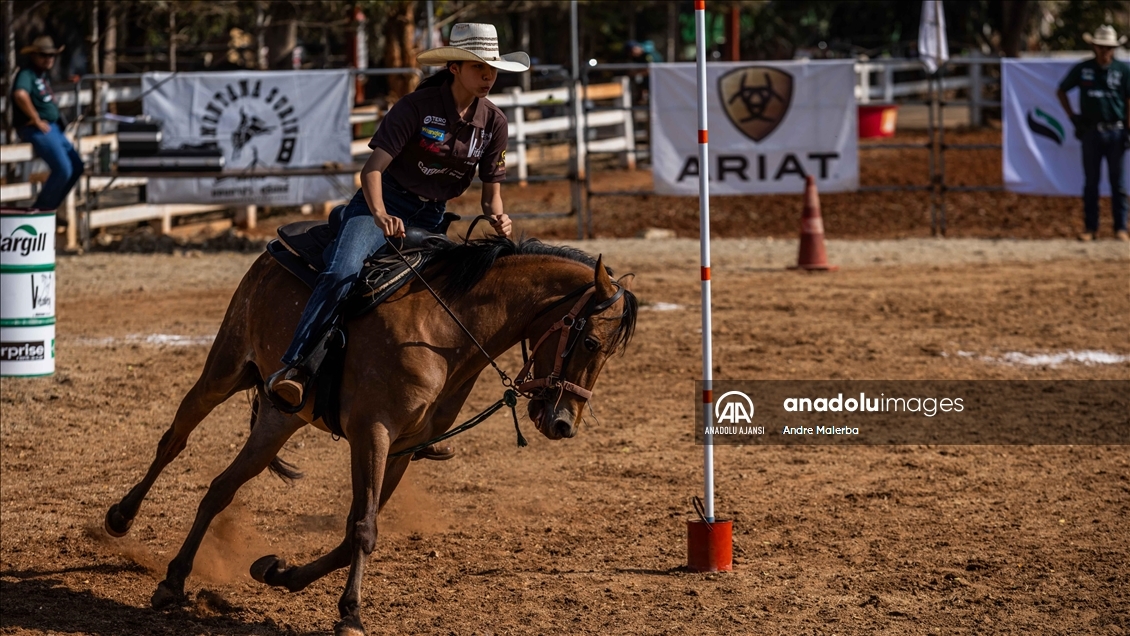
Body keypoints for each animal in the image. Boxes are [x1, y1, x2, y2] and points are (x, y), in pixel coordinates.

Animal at [105, 239, 637, 636]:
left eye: (612, 352)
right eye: (591, 341)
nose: (563, 424)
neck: (443, 331)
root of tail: (272, 253)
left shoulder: (401, 450)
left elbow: (350, 535)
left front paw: (278, 572)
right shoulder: (372, 433)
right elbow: (363, 527)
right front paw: (352, 615)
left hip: (281, 418)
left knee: (220, 488)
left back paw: (175, 579)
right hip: (225, 368)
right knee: (174, 440)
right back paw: (121, 517)